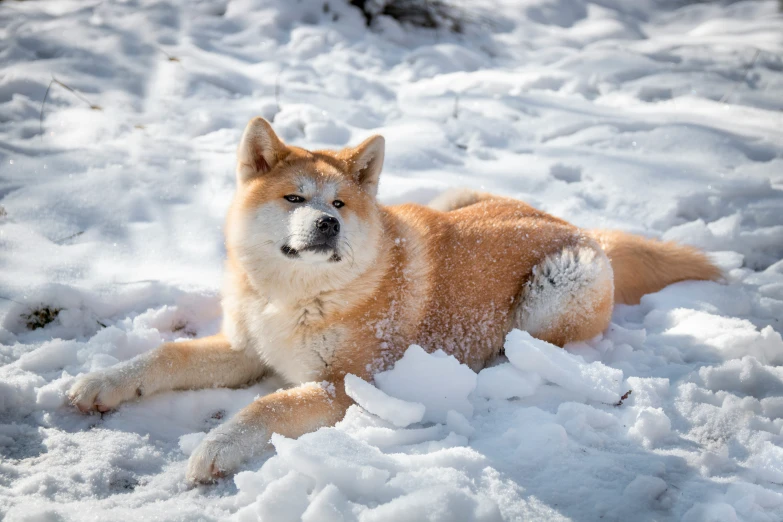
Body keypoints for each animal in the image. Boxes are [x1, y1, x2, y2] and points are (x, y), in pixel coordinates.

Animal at [69, 116, 724, 482]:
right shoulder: (245, 349)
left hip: (552, 295)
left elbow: (264, 409)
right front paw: (100, 383)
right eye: (293, 198)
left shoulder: (344, 385)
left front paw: (214, 449)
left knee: (536, 351)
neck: (296, 297)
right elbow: (164, 357)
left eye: (338, 204)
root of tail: (582, 228)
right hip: (455, 196)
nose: (328, 225)